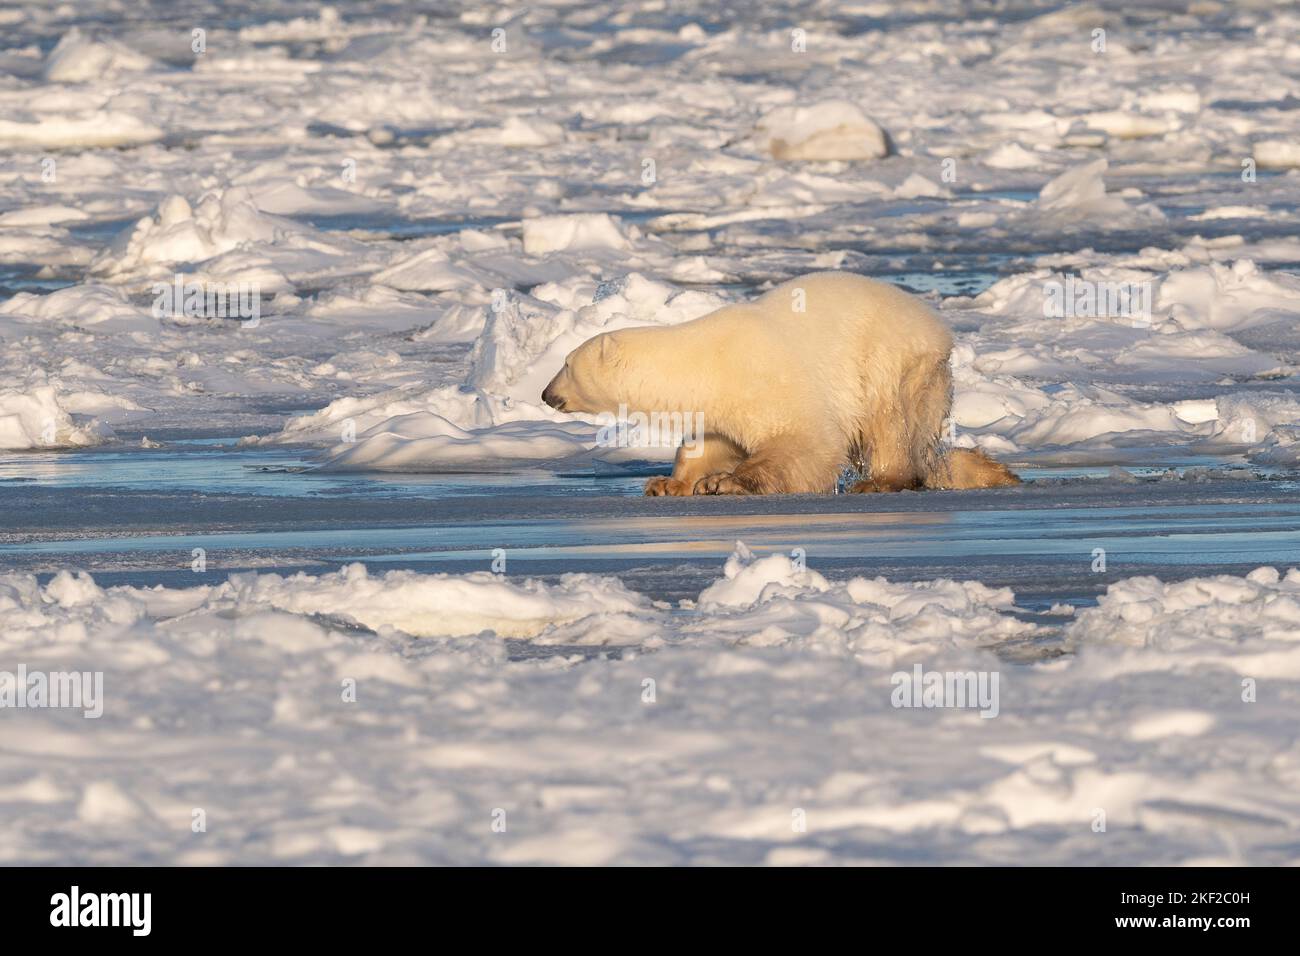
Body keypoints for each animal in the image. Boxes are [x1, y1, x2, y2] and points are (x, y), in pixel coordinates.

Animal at [538, 269, 1013, 494]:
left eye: (566, 363)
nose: (545, 393)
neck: (703, 360)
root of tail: (940, 331)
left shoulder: (761, 377)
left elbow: (804, 440)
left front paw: (726, 483)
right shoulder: (719, 402)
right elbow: (710, 444)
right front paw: (668, 483)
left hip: (894, 364)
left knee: (891, 425)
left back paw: (881, 480)